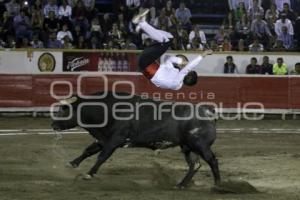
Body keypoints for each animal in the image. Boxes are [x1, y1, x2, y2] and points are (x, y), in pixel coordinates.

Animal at [51, 91, 220, 188]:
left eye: (64, 110)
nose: (53, 124)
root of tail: (208, 112)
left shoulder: (115, 140)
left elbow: (102, 156)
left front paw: (89, 174)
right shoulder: (104, 138)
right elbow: (88, 150)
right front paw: (72, 163)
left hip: (200, 145)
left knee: (212, 161)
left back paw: (218, 185)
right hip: (188, 147)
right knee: (195, 164)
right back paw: (180, 185)